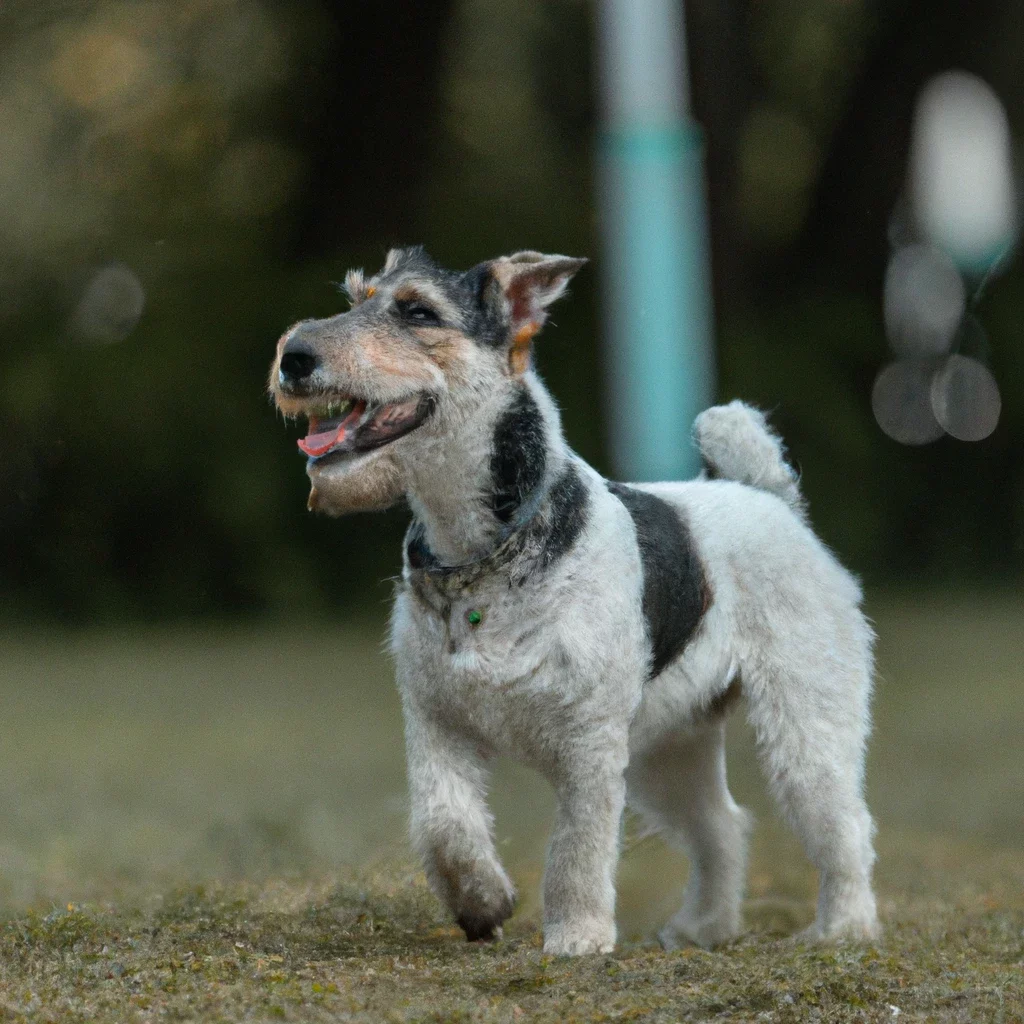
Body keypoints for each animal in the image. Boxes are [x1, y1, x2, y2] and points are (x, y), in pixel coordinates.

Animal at [272, 251, 880, 954]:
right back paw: (702, 928)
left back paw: (843, 929)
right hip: (668, 746)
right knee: (723, 826)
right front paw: (484, 902)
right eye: (355, 298)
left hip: (803, 725)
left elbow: (578, 848)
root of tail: (769, 496)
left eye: (419, 311)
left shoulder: (588, 743)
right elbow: (443, 822)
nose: (293, 356)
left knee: (844, 827)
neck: (479, 554)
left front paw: (577, 936)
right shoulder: (436, 722)